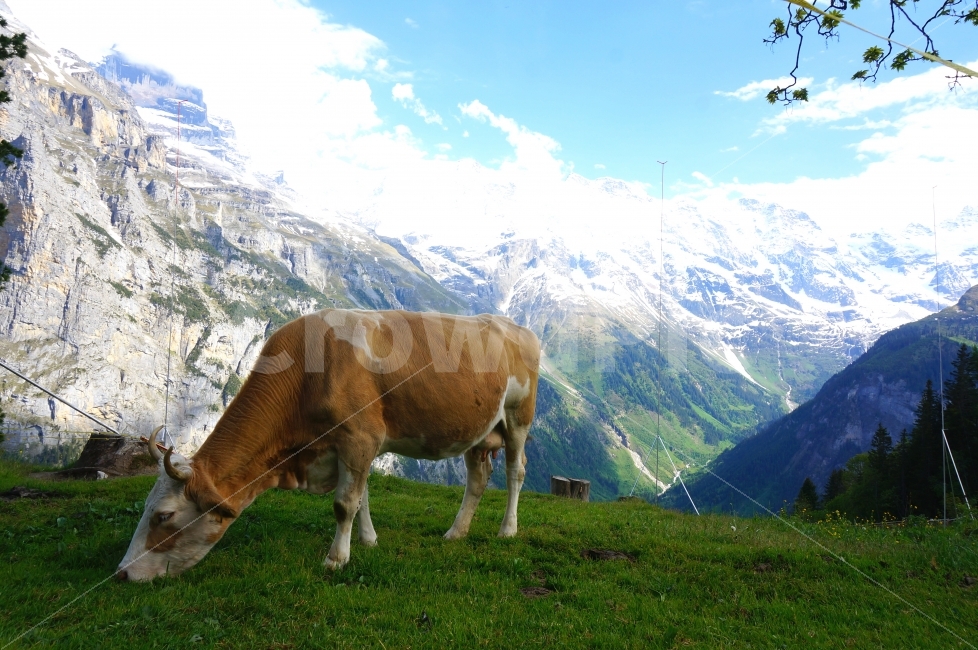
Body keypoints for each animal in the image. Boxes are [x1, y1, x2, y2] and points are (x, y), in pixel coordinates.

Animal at [116, 309, 540, 581]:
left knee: (516, 472)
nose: (121, 573)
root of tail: (514, 326)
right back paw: (456, 532)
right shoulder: (355, 446)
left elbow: (344, 503)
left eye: (163, 517)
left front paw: (336, 559)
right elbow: (362, 495)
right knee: (478, 478)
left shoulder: (359, 436)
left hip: (518, 416)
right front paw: (368, 541)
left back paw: (508, 529)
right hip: (480, 431)